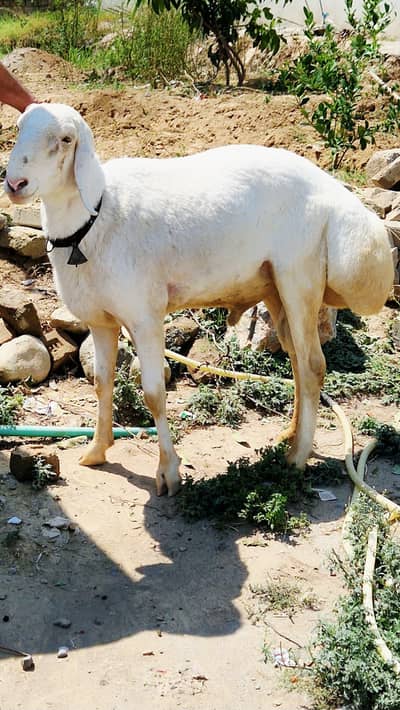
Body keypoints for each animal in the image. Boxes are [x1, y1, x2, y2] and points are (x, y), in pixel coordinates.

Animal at [5, 103, 394, 496]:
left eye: (66, 139)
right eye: (19, 127)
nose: (15, 184)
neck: (94, 218)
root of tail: (336, 193)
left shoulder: (145, 317)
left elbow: (154, 395)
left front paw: (168, 472)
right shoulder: (101, 320)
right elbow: (101, 384)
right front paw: (98, 450)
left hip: (300, 277)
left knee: (313, 366)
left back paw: (296, 458)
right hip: (276, 288)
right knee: (298, 362)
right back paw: (293, 435)